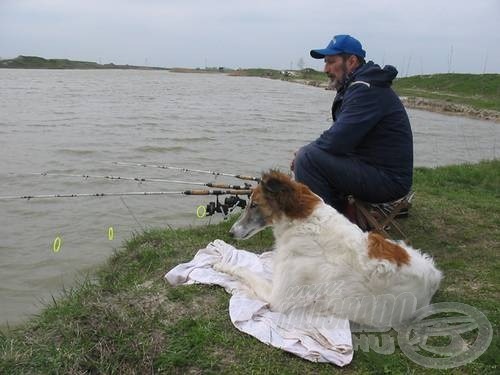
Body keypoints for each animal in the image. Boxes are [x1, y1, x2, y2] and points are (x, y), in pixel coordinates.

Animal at [217, 172, 444, 328]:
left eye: (254, 205)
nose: (231, 233)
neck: (303, 223)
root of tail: (434, 278)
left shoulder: (278, 298)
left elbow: (244, 270)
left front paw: (222, 264)